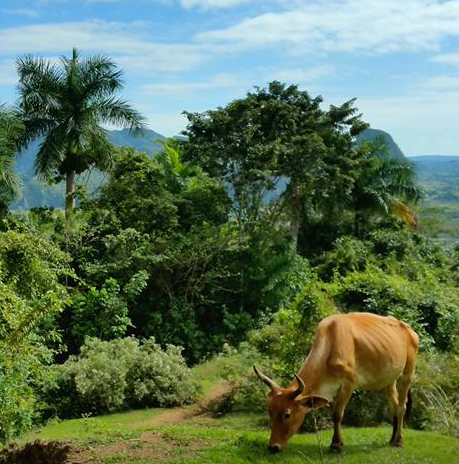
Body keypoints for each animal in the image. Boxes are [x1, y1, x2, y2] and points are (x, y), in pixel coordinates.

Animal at [255, 312, 420, 454]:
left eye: (287, 415)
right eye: (270, 411)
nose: (273, 447)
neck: (331, 343)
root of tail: (409, 329)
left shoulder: (349, 385)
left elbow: (337, 415)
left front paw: (335, 445)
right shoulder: (332, 390)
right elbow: (334, 413)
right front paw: (338, 442)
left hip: (408, 373)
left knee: (401, 407)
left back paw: (398, 441)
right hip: (389, 379)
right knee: (394, 405)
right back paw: (392, 439)